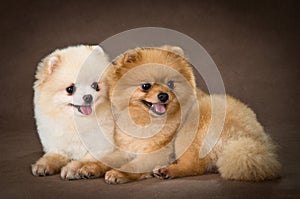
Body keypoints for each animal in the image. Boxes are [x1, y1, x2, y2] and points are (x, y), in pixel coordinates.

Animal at [31, 44, 113, 179]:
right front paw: (43, 165)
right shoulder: (59, 146)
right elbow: (54, 155)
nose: (88, 97)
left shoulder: (102, 148)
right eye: (70, 89)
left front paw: (73, 169)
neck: (76, 122)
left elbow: (84, 160)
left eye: (95, 86)